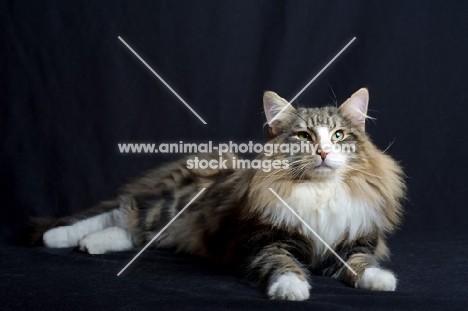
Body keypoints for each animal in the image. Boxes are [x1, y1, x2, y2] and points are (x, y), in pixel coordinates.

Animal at [33, 88, 406, 302]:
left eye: (339, 135)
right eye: (304, 136)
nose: (325, 152)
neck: (319, 190)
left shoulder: (355, 242)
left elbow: (361, 263)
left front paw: (380, 280)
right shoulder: (263, 242)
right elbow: (283, 264)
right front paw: (292, 289)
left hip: (169, 227)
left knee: (132, 233)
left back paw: (91, 244)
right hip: (169, 208)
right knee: (123, 213)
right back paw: (60, 237)